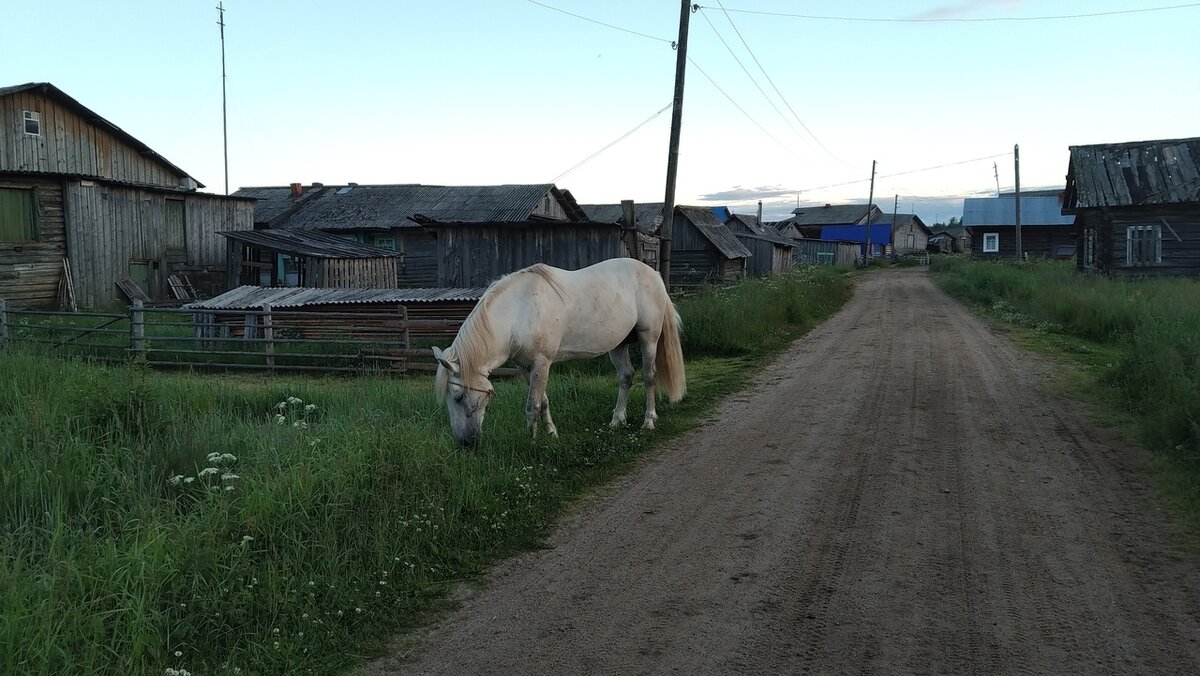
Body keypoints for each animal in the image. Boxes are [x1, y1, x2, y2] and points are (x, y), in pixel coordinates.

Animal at [436, 256, 691, 446]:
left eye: (458, 396)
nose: (464, 443)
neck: (519, 310)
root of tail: (653, 274)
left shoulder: (542, 362)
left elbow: (532, 405)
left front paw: (532, 441)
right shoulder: (527, 366)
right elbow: (543, 400)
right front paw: (551, 433)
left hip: (649, 339)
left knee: (649, 377)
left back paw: (648, 421)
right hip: (618, 345)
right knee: (626, 376)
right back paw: (617, 420)